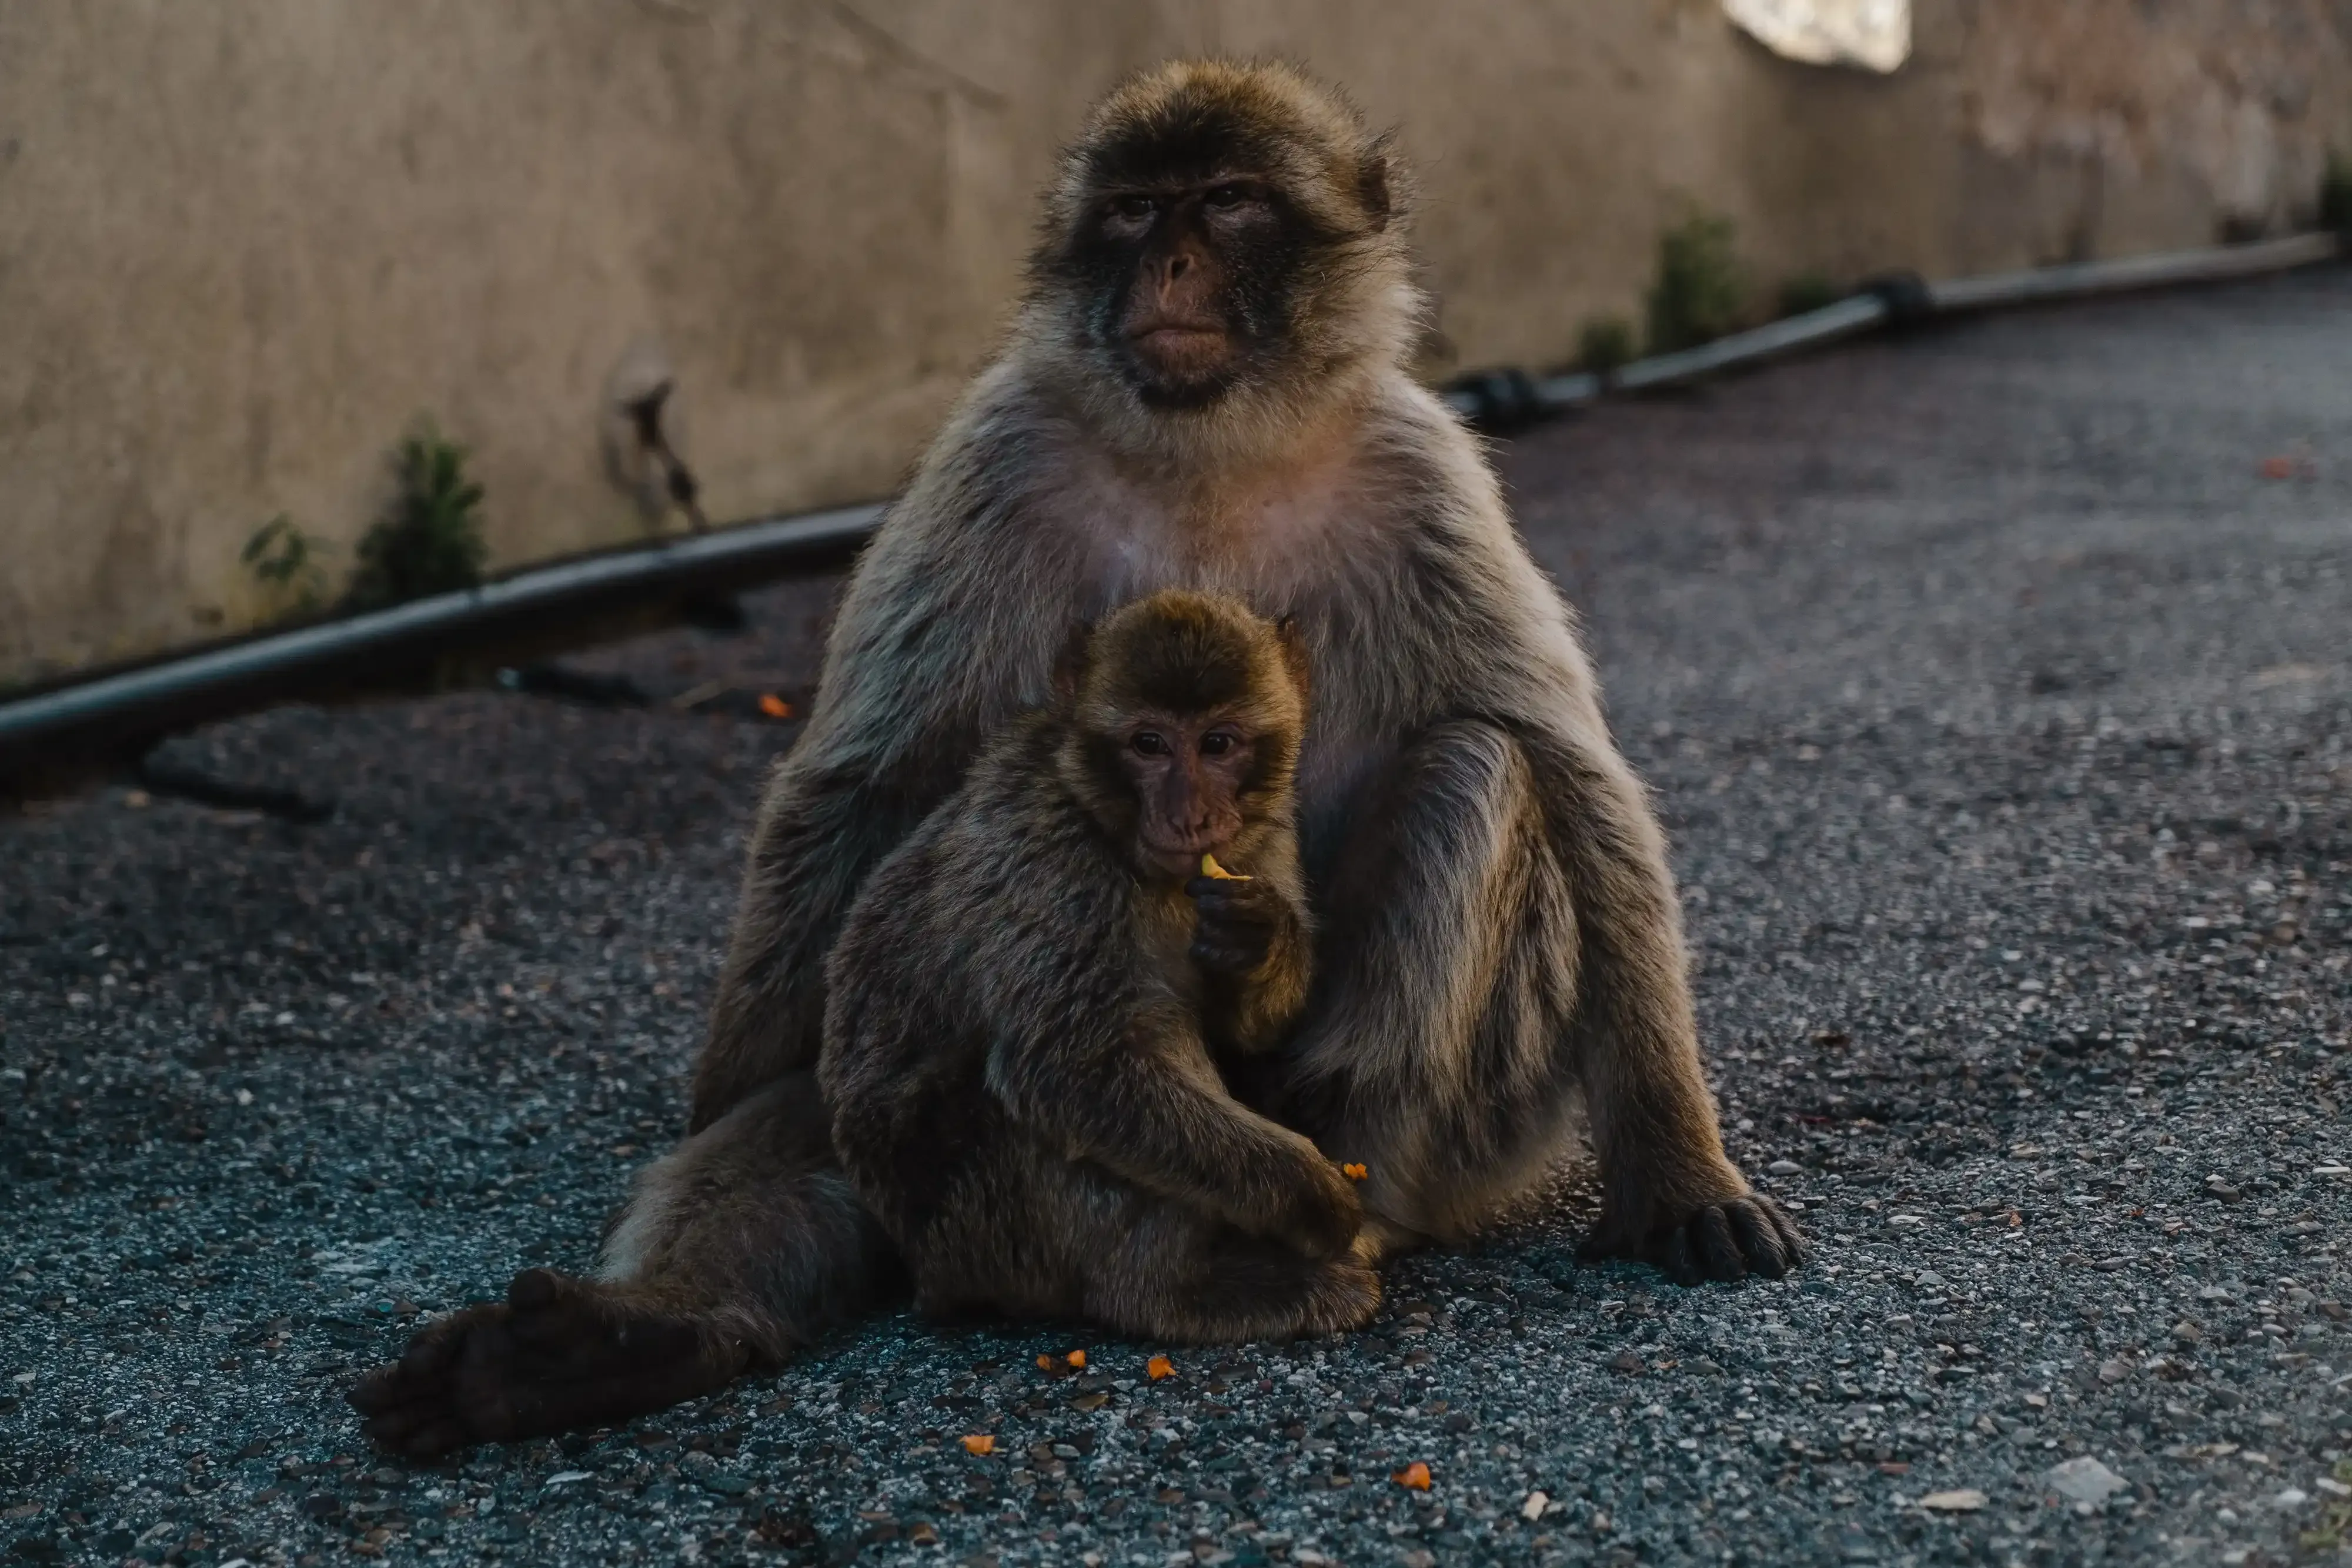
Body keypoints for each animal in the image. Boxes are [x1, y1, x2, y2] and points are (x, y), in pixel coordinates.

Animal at [818, 589, 1378, 1342]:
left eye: (1218, 743)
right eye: (1149, 745)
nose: (1190, 816)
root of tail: (931, 1280)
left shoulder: (1259, 840)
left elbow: (1246, 1029)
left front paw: (1258, 941)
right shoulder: (1055, 862)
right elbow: (1071, 1070)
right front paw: (1305, 1197)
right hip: (975, 1218)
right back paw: (1169, 1295)